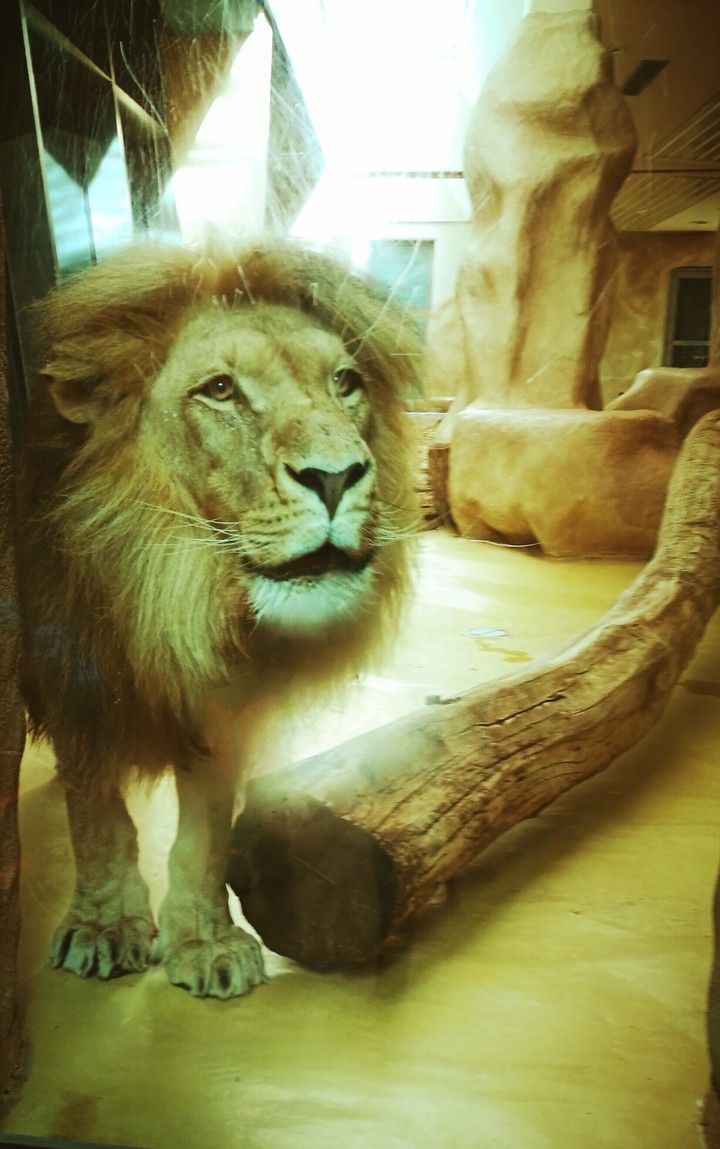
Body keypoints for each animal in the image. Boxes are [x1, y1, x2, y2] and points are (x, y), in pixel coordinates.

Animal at [16, 240, 420, 999]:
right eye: (221, 390)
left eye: (345, 381)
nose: (337, 476)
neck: (171, 588)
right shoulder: (72, 669)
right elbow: (95, 809)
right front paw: (105, 923)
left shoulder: (219, 692)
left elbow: (204, 827)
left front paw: (205, 939)